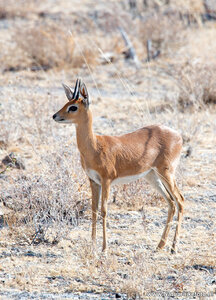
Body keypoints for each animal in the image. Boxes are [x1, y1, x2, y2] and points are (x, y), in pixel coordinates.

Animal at [52, 78, 184, 253]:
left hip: (166, 173)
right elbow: (93, 210)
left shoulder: (106, 180)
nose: (55, 116)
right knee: (171, 203)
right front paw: (92, 245)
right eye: (67, 102)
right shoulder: (93, 181)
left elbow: (104, 211)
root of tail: (178, 135)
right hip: (152, 176)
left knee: (180, 201)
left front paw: (104, 248)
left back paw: (174, 248)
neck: (95, 145)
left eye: (73, 107)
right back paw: (160, 245)